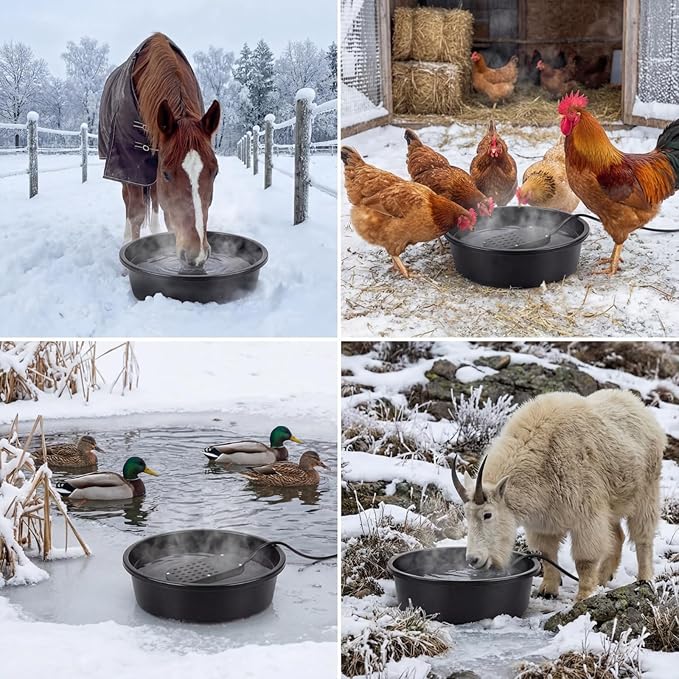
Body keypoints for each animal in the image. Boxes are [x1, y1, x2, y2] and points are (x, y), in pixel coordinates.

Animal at [99, 33, 220, 267]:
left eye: (215, 172)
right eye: (167, 174)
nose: (197, 255)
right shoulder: (131, 166)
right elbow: (136, 213)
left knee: (155, 200)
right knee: (128, 201)